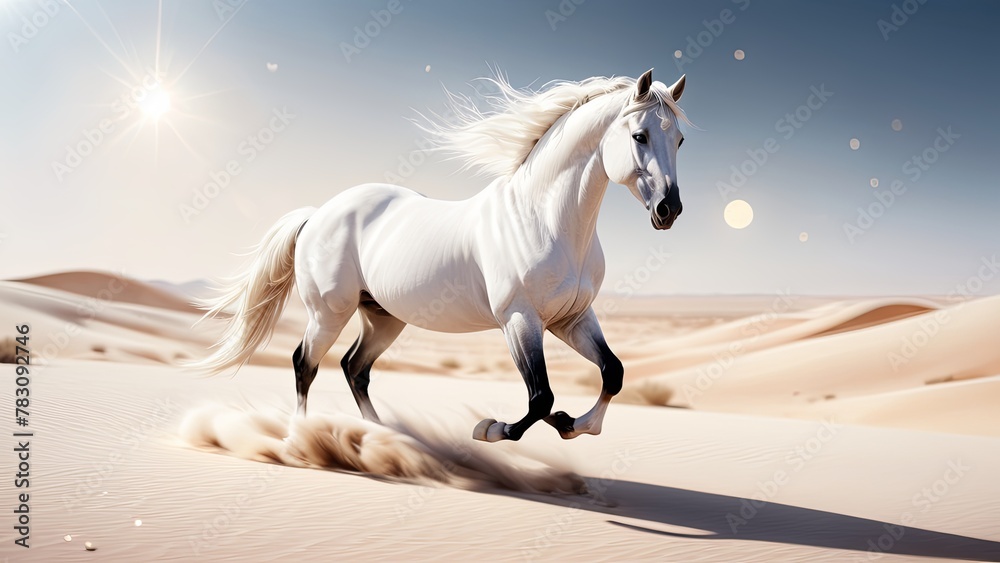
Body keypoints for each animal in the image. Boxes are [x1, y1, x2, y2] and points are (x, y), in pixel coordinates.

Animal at [194, 69, 689, 443]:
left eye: (680, 140)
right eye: (640, 136)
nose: (669, 210)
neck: (546, 219)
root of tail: (318, 214)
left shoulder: (571, 318)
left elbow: (612, 372)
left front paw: (572, 425)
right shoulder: (519, 319)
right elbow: (540, 396)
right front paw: (491, 429)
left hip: (383, 317)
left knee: (354, 368)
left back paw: (384, 434)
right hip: (329, 312)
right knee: (305, 363)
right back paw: (301, 435)